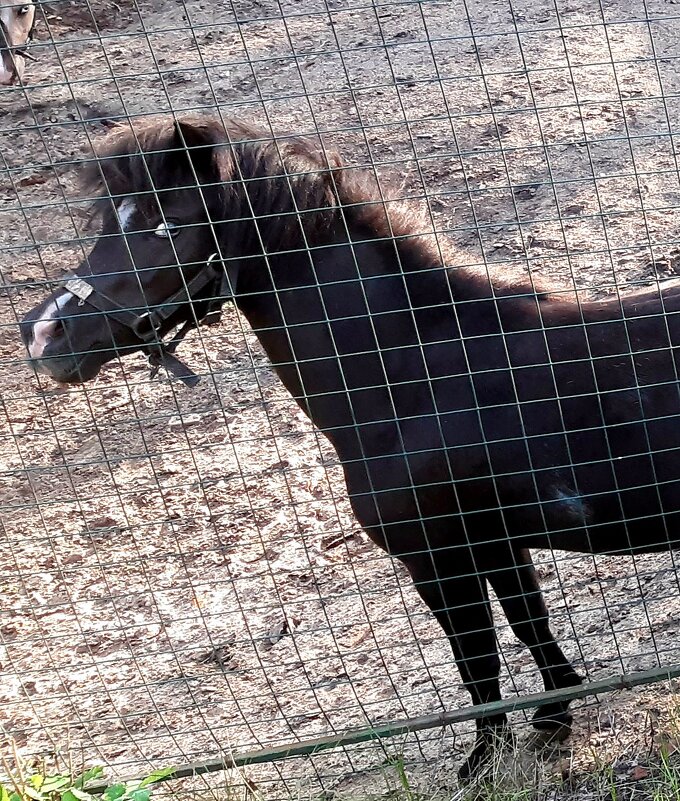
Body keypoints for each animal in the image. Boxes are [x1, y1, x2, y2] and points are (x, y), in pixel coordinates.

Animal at [19, 115, 680, 780]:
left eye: (169, 223)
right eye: (110, 222)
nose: (43, 334)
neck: (417, 372)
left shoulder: (437, 557)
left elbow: (476, 656)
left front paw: (483, 758)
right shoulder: (492, 542)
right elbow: (528, 624)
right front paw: (552, 719)